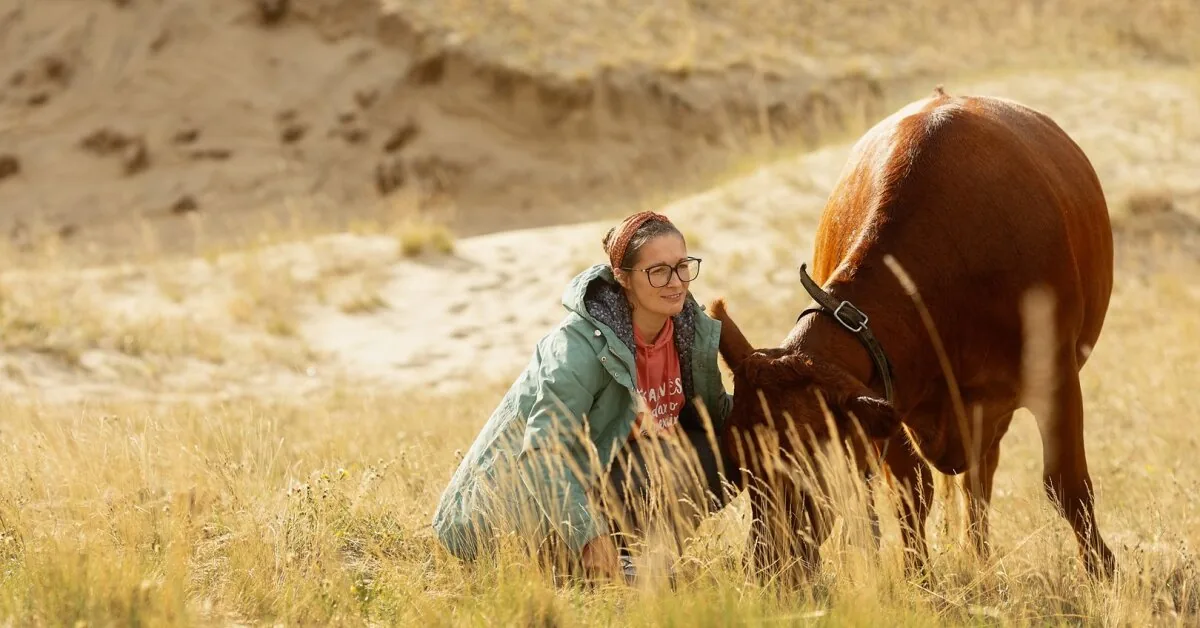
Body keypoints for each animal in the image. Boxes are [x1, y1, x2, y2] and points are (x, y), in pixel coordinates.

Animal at [708, 85, 1116, 587]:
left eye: (810, 458)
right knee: (975, 477)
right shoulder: (891, 397)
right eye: (738, 461)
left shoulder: (1056, 376)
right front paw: (920, 581)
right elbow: (910, 493)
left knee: (983, 474)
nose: (769, 565)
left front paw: (1102, 574)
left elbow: (1066, 484)